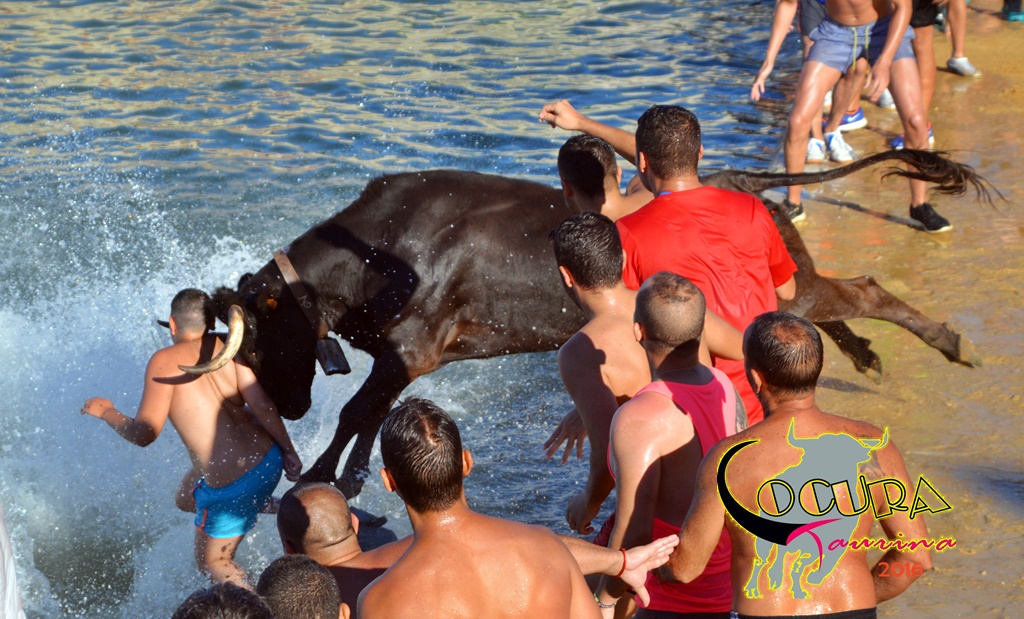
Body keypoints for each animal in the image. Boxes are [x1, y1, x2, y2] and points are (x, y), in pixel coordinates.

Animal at [184, 149, 988, 498]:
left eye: (260, 341)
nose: (289, 409)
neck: (378, 248)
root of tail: (740, 176)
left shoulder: (413, 347)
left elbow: (357, 409)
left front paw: (322, 475)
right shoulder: (402, 356)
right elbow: (370, 412)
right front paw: (346, 476)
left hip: (776, 295)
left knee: (865, 291)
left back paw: (952, 343)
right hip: (786, 285)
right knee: (841, 297)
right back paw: (873, 354)